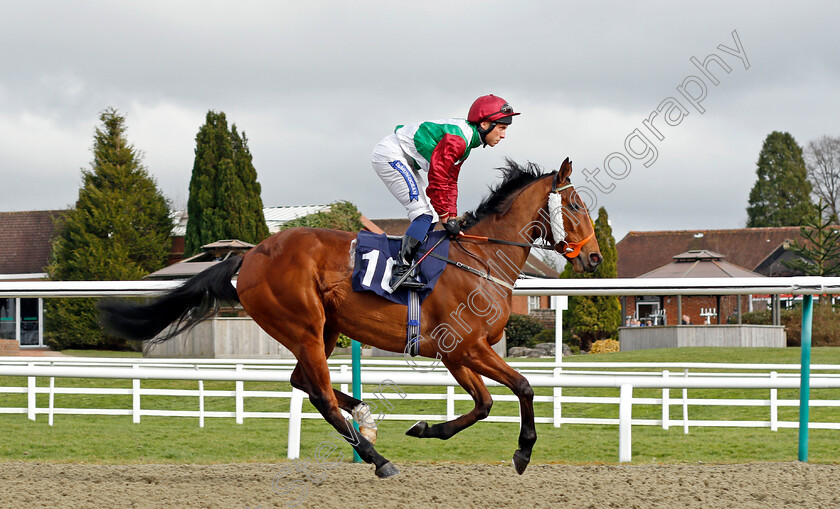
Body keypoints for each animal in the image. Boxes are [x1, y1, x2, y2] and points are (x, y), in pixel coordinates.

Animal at [98, 157, 600, 478]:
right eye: (576, 206)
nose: (594, 258)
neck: (479, 260)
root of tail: (251, 255)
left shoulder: (457, 354)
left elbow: (485, 404)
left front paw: (425, 427)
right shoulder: (467, 347)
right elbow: (523, 387)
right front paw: (523, 452)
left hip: (324, 328)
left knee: (302, 381)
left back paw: (364, 413)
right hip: (302, 325)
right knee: (317, 391)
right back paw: (378, 458)